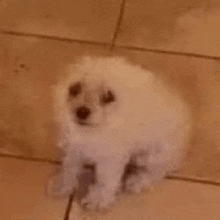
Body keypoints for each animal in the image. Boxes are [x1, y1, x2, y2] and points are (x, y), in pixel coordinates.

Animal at [47, 56, 192, 210]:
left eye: (108, 96)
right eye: (74, 89)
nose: (81, 112)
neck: (94, 131)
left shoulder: (111, 158)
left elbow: (106, 180)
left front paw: (98, 198)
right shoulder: (75, 147)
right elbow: (70, 166)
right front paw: (62, 184)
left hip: (152, 155)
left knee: (158, 170)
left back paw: (138, 180)